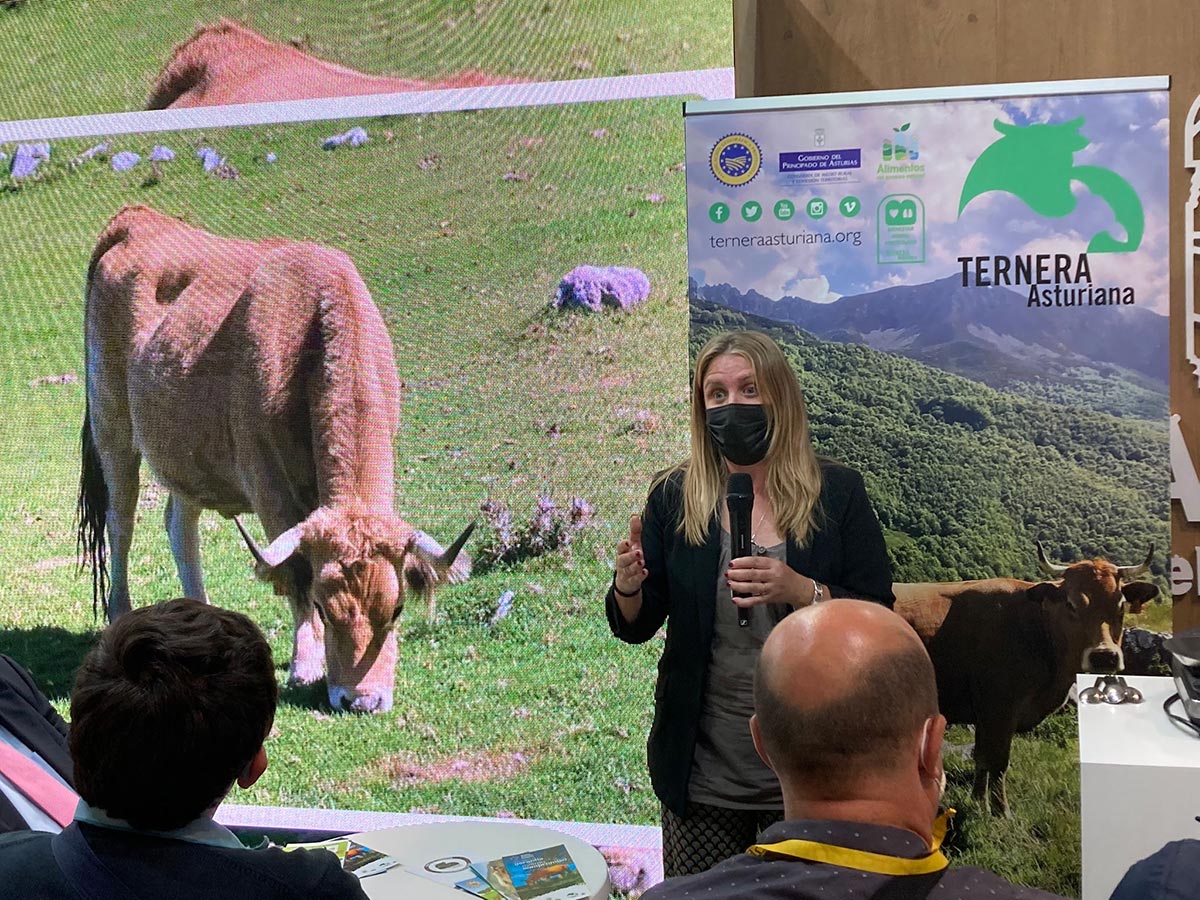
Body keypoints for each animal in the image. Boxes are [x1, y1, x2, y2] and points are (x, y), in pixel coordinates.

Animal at [78, 202, 472, 710]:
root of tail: (136, 217)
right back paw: (119, 615)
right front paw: (306, 664)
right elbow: (295, 574)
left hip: (183, 454)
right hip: (113, 428)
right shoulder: (267, 483)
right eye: (325, 606)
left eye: (397, 607)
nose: (360, 700)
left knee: (180, 527)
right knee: (120, 522)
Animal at [897, 542, 1156, 816]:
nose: (1104, 655)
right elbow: (998, 761)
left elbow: (982, 758)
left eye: (1121, 605)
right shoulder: (1000, 707)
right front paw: (1001, 812)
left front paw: (978, 802)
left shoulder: (985, 713)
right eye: (1071, 604)